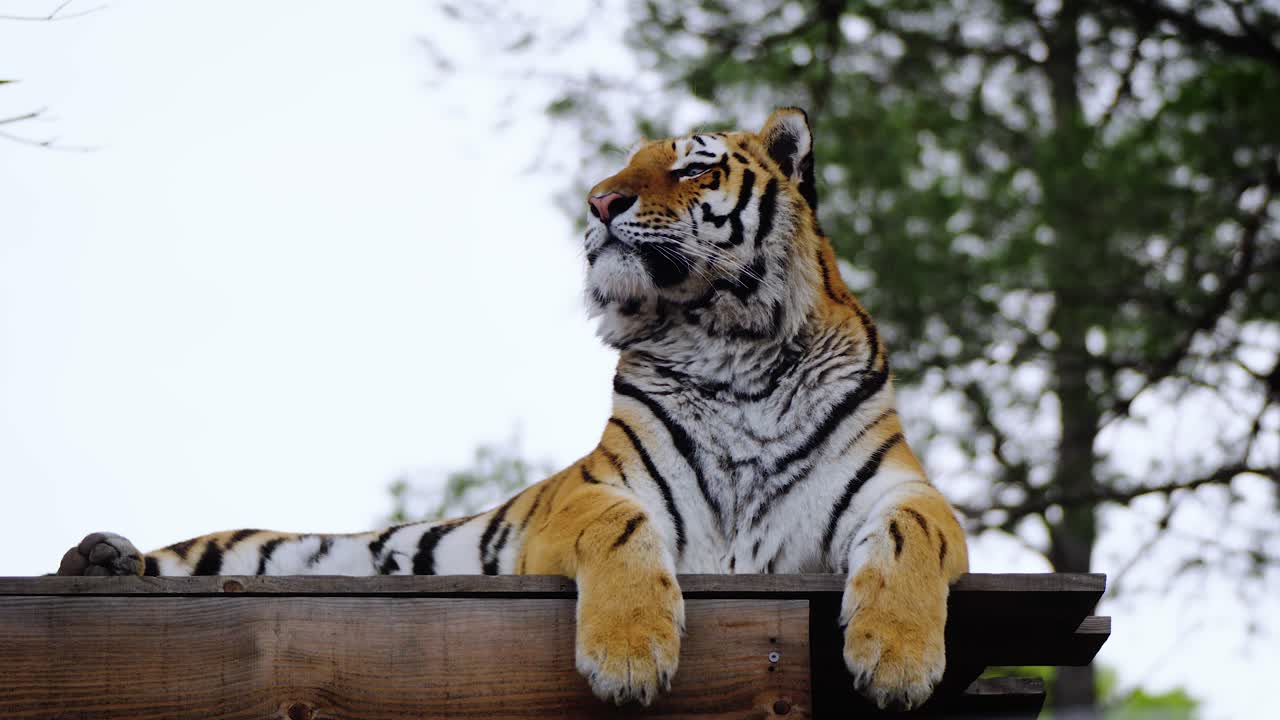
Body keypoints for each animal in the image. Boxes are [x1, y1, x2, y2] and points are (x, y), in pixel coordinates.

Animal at [57, 108, 969, 711]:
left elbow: (908, 536)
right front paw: (629, 657)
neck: (730, 343)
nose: (598, 203)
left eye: (690, 168)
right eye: (623, 166)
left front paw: (896, 663)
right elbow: (624, 531)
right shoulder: (594, 493)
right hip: (245, 553)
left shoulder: (903, 492)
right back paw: (98, 560)